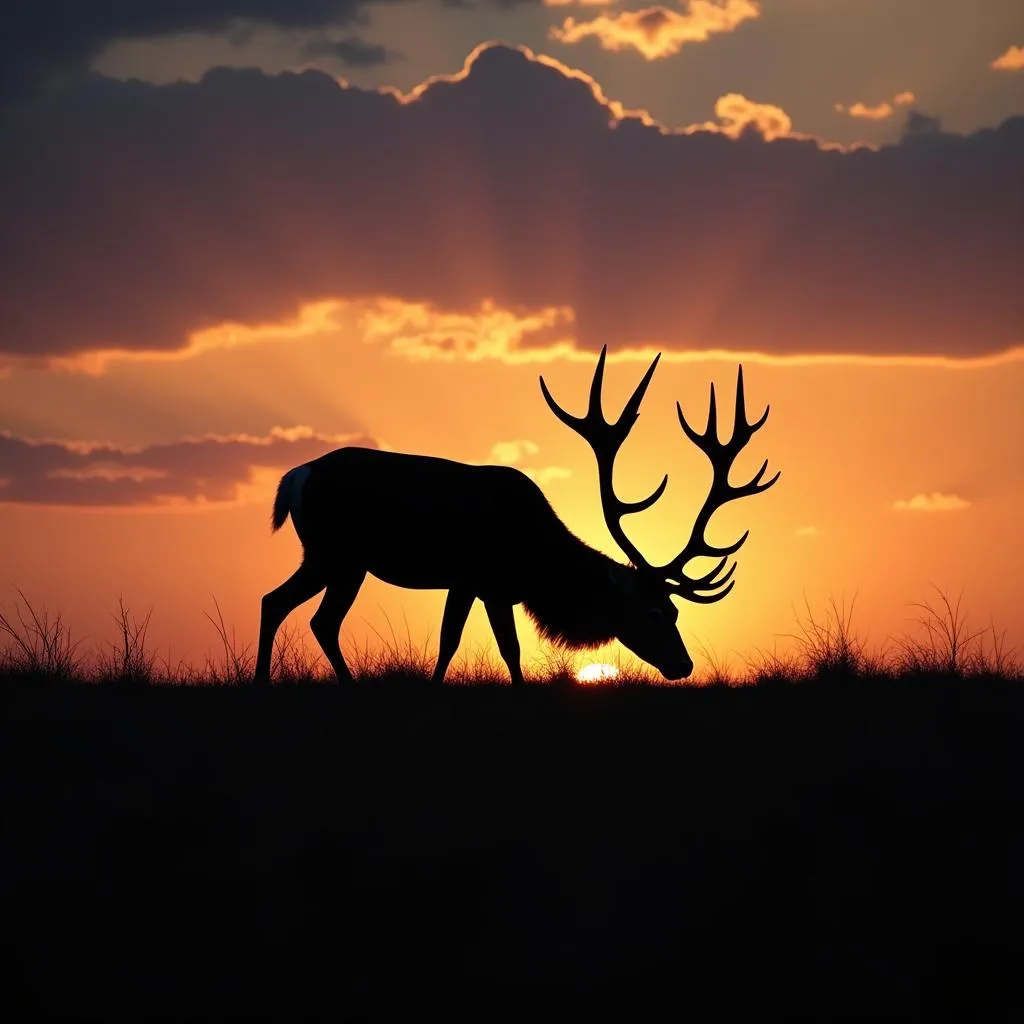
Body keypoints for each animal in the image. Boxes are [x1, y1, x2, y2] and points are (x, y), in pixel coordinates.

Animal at [253, 346, 774, 688]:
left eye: (677, 610)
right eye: (653, 612)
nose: (683, 665)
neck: (535, 563)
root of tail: (295, 477)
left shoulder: (495, 590)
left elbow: (507, 647)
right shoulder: (470, 577)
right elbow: (455, 642)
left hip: (332, 558)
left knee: (284, 606)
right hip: (337, 554)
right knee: (309, 615)